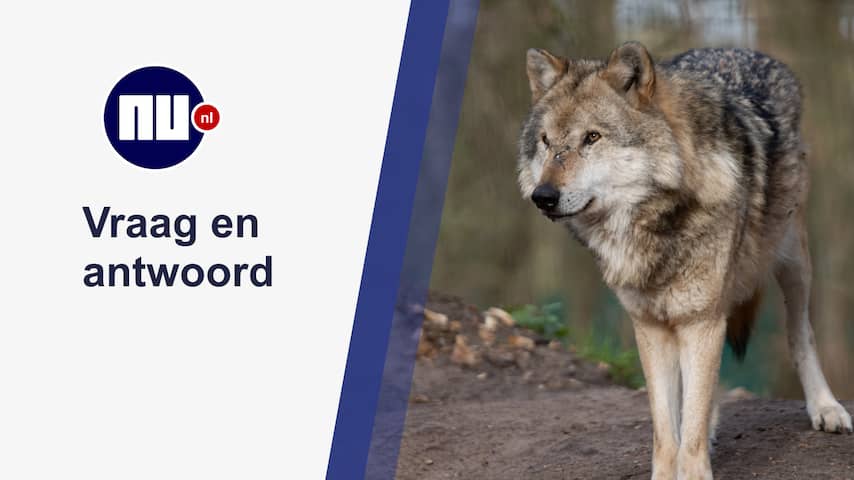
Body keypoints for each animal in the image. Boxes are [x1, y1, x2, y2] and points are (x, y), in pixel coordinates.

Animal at [517, 42, 852, 479]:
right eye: (545, 141)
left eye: (592, 137)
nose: (542, 196)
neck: (652, 226)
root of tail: (739, 49)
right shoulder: (652, 326)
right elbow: (667, 426)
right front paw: (669, 468)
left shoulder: (701, 321)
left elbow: (689, 423)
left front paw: (693, 468)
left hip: (792, 262)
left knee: (801, 335)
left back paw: (826, 408)